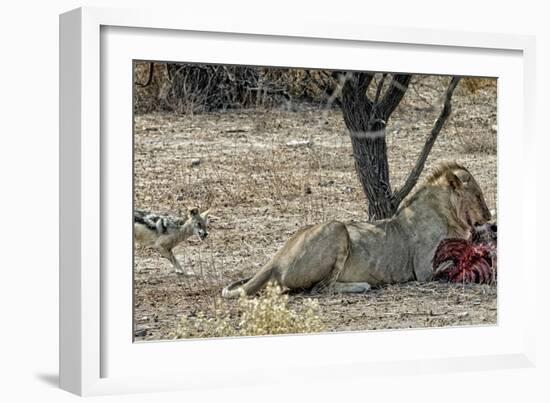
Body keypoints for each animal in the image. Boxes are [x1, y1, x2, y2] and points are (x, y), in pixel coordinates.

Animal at [222, 163, 494, 298]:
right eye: (479, 196)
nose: (490, 217)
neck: (449, 214)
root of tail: (276, 259)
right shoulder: (424, 270)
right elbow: (453, 264)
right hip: (337, 228)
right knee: (321, 287)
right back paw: (361, 286)